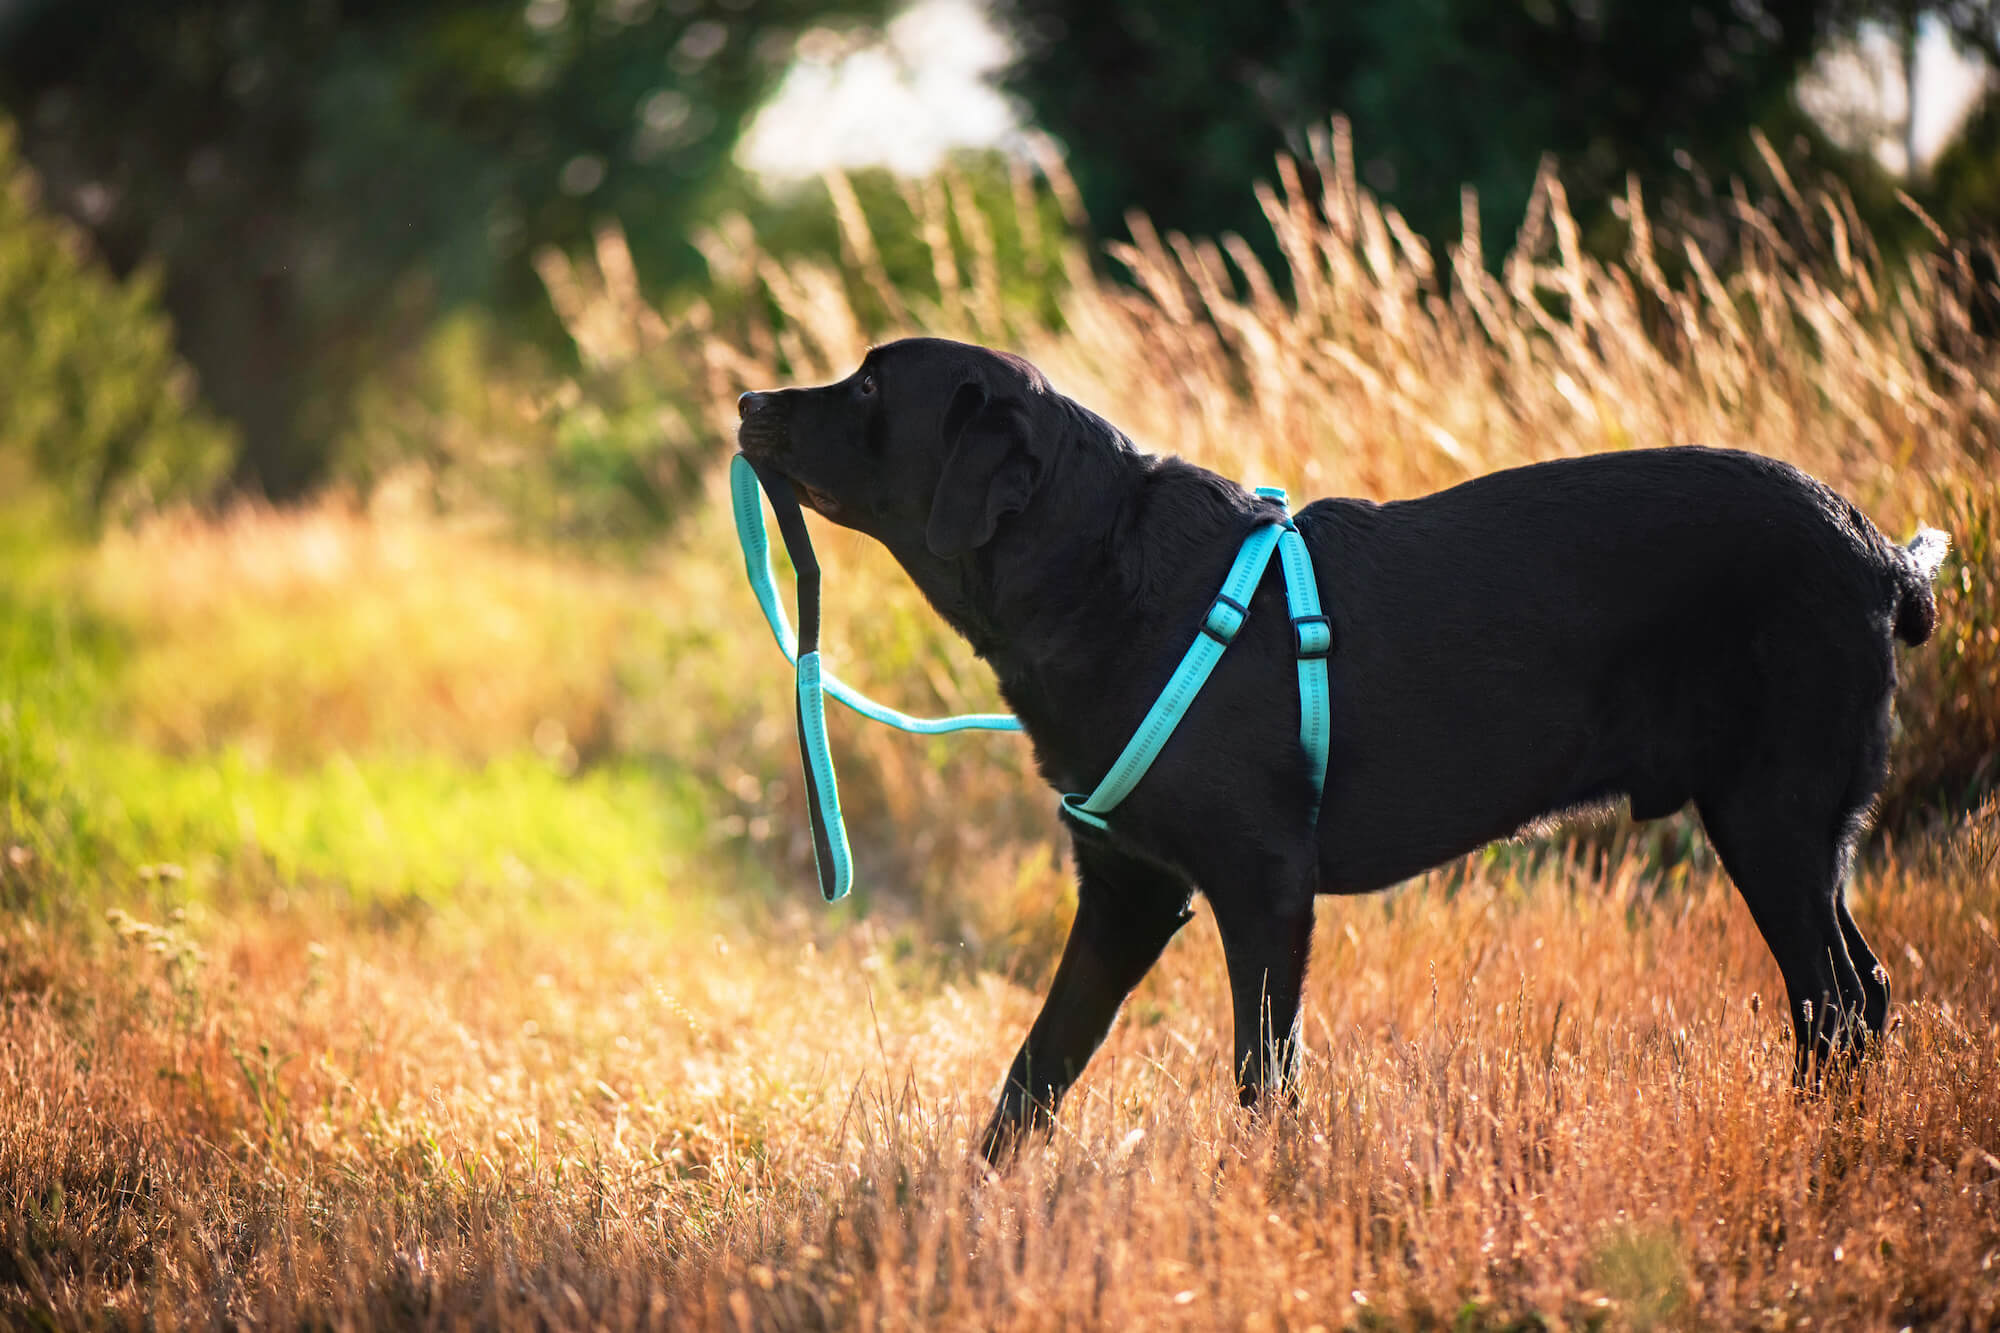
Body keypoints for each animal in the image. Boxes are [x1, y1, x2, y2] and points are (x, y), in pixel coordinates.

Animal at [736, 332, 1936, 1152]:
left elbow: (1261, 1075)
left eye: (869, 387)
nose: (748, 398)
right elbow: (1036, 1068)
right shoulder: (1127, 887)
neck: (1098, 566)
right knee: (1865, 992)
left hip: (1771, 813)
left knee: (1832, 1003)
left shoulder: (1262, 883)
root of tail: (1883, 556)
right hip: (1798, 829)